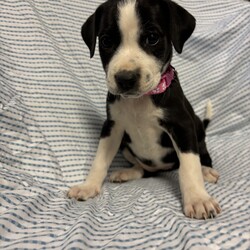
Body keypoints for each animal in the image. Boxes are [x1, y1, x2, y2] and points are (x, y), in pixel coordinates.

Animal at [68, 0, 221, 219]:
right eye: (106, 41)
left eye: (152, 38)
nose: (125, 79)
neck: (139, 101)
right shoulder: (112, 127)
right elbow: (100, 160)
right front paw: (88, 186)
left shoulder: (182, 126)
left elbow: (189, 166)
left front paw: (198, 199)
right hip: (126, 147)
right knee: (145, 169)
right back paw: (128, 172)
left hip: (197, 130)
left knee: (201, 156)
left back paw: (206, 171)